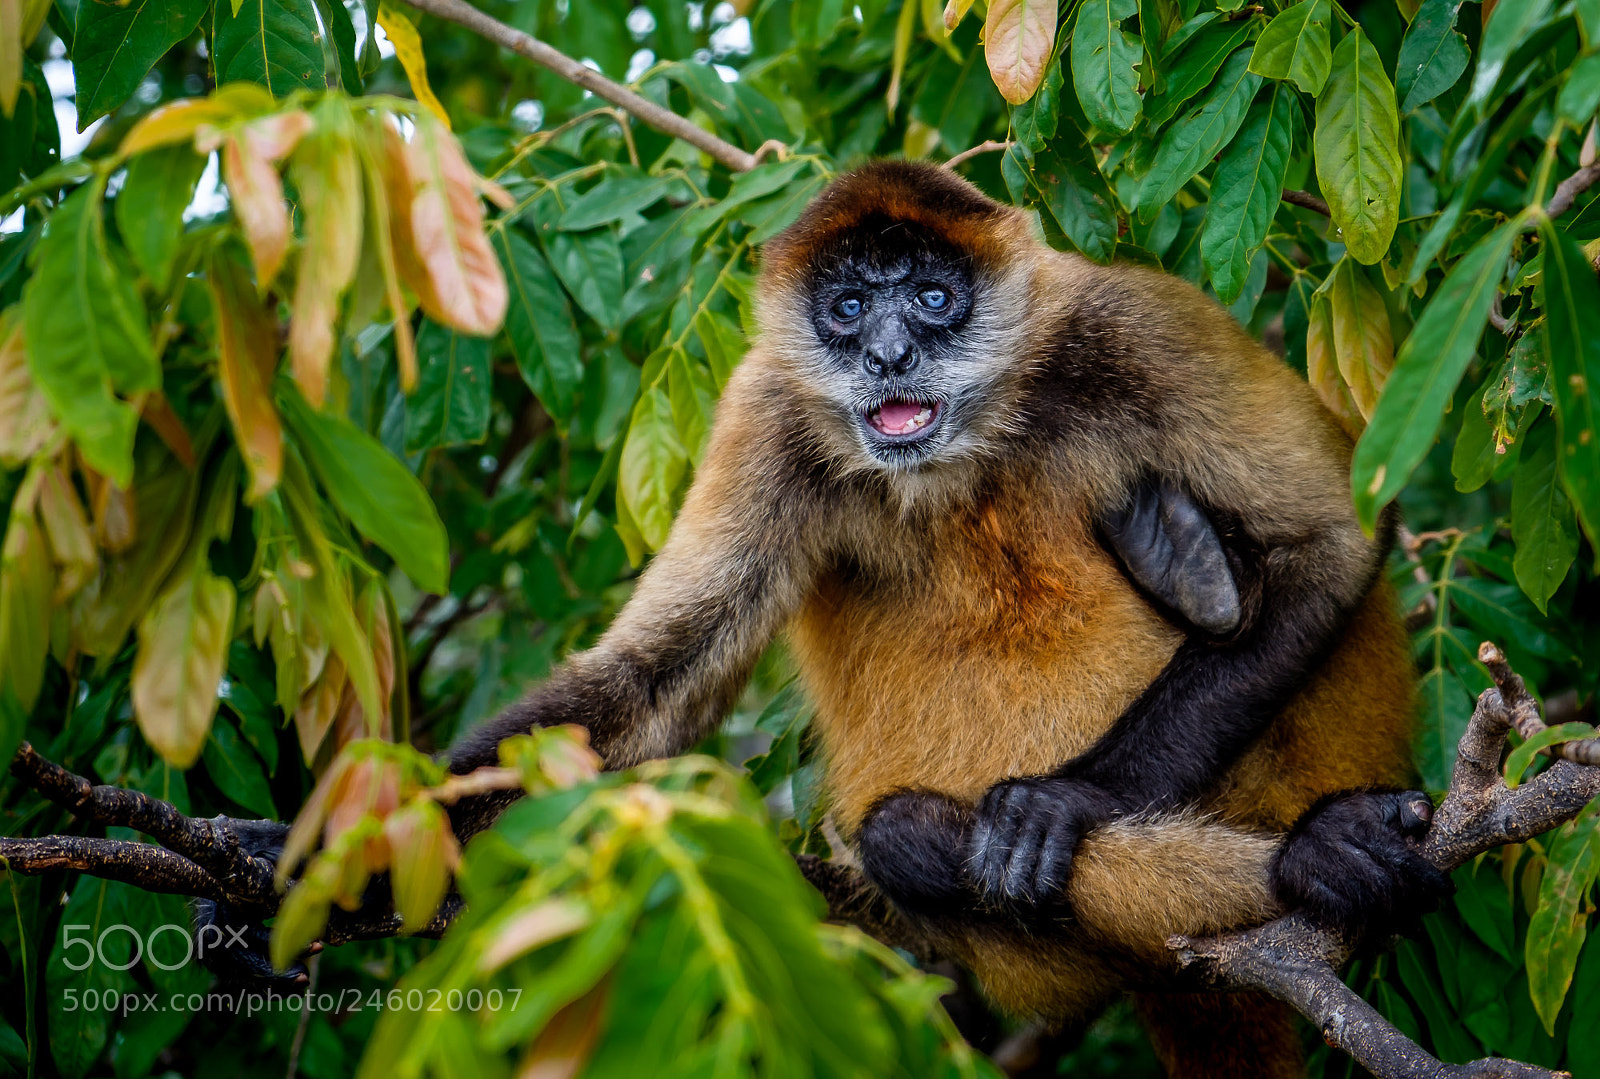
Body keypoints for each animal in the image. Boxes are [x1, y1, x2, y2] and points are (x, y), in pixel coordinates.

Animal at [436, 161, 1449, 1077]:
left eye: (932, 298)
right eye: (848, 308)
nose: (889, 355)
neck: (963, 450)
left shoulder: (1128, 322)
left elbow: (1334, 539)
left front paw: (1062, 802)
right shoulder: (767, 407)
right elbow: (654, 677)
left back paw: (1308, 837)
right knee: (901, 838)